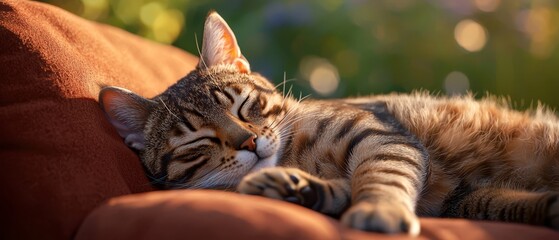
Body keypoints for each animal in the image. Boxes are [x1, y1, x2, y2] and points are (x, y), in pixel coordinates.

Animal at [99, 12, 559, 235]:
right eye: (197, 143)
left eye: (245, 106)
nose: (249, 142)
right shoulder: (454, 196)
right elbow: (342, 189)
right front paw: (296, 189)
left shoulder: (381, 138)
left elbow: (379, 178)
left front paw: (378, 209)